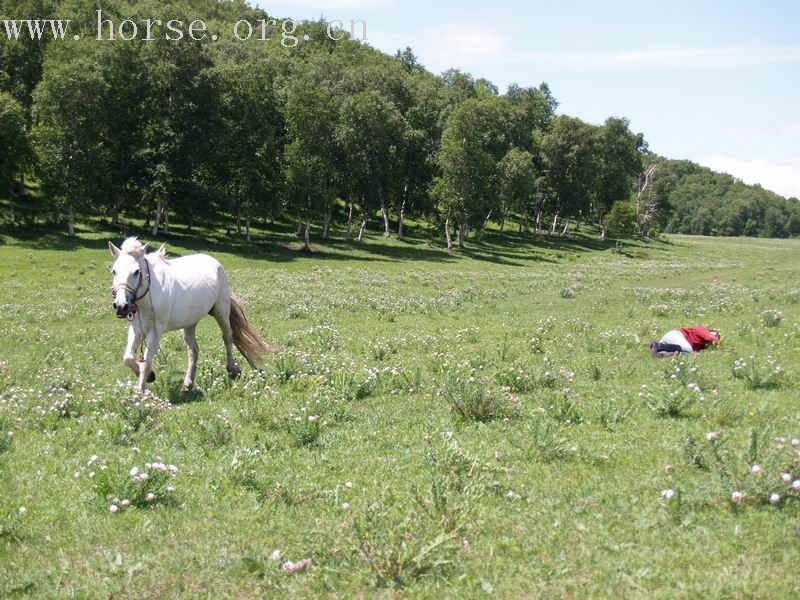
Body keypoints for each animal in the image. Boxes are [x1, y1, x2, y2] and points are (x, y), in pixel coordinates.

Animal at [108, 239, 274, 394]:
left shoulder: (155, 330)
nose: (121, 306)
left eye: (136, 271)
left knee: (228, 337)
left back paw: (232, 369)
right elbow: (128, 358)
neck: (149, 295)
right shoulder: (137, 329)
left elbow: (145, 363)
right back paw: (188, 384)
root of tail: (214, 262)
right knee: (193, 351)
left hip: (221, 312)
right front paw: (150, 377)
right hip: (189, 324)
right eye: (114, 271)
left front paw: (141, 392)